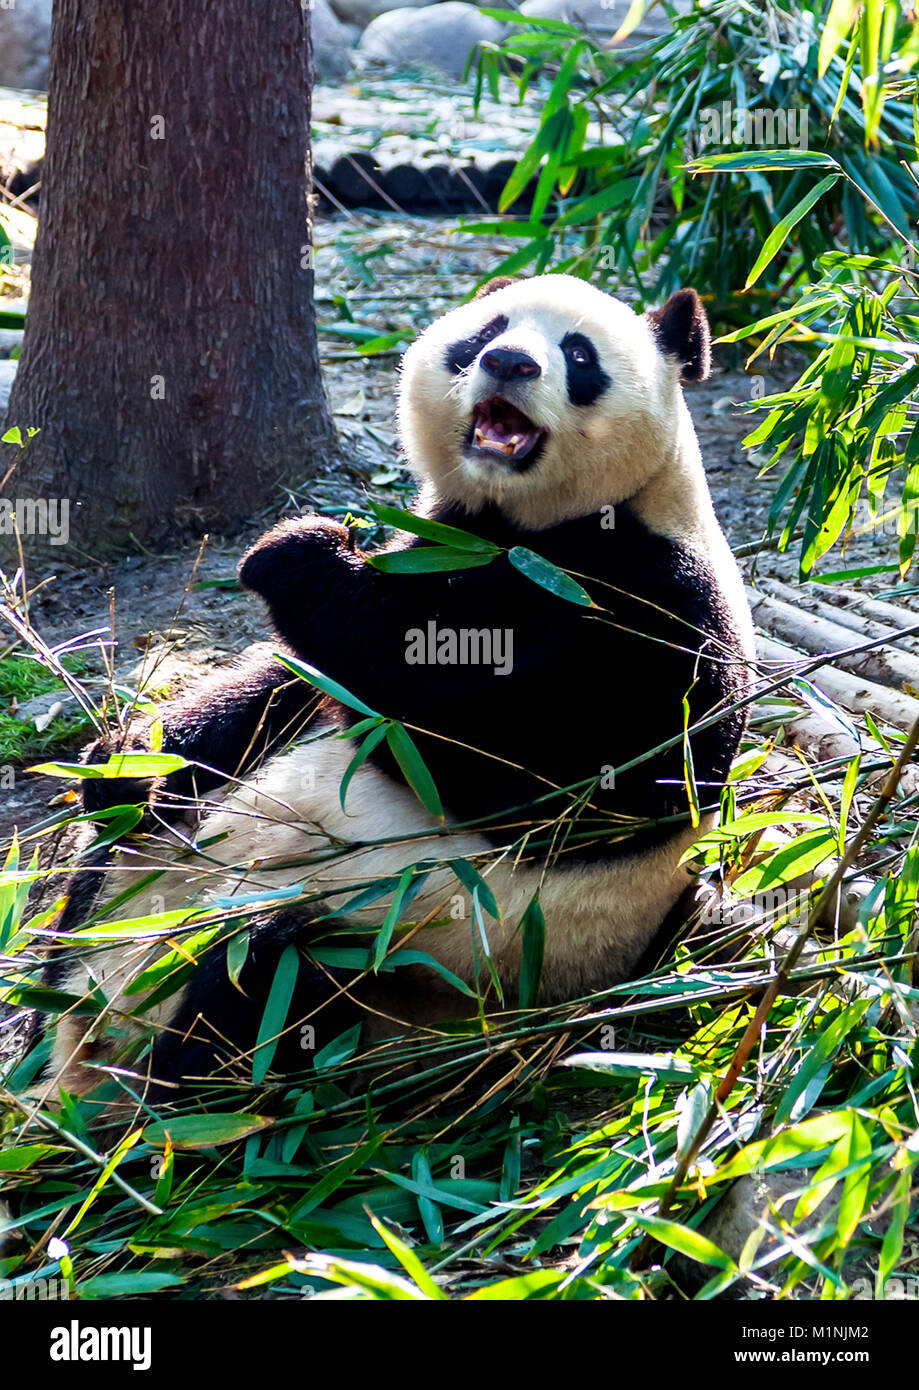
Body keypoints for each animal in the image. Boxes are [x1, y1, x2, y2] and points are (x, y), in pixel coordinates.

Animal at [43, 276, 750, 1106]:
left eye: (579, 356)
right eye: (486, 330)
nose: (509, 362)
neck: (529, 525)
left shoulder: (657, 606)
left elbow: (542, 774)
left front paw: (297, 549)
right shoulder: (436, 543)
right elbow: (293, 685)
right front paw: (133, 757)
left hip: (396, 976)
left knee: (274, 978)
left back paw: (178, 1100)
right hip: (140, 882)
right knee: (115, 856)